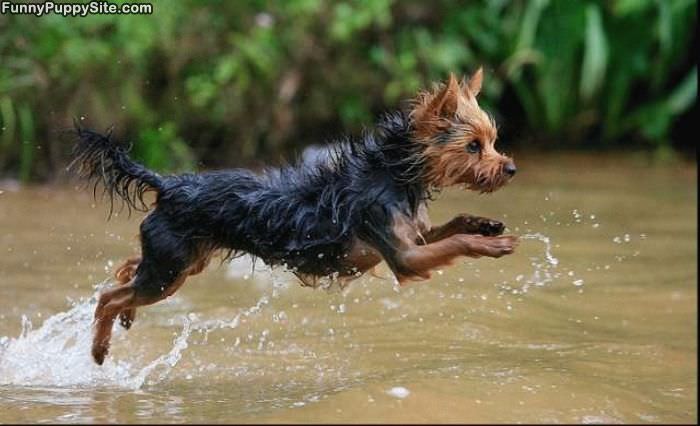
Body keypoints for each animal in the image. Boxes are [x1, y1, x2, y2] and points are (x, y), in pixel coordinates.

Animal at [69, 68, 520, 364]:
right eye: (473, 146)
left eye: (492, 142)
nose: (511, 168)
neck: (395, 174)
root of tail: (167, 184)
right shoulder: (404, 256)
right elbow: (456, 242)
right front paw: (493, 243)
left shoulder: (415, 236)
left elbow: (454, 225)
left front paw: (485, 225)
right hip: (168, 272)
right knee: (108, 296)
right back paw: (100, 347)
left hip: (181, 262)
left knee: (130, 268)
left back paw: (126, 311)